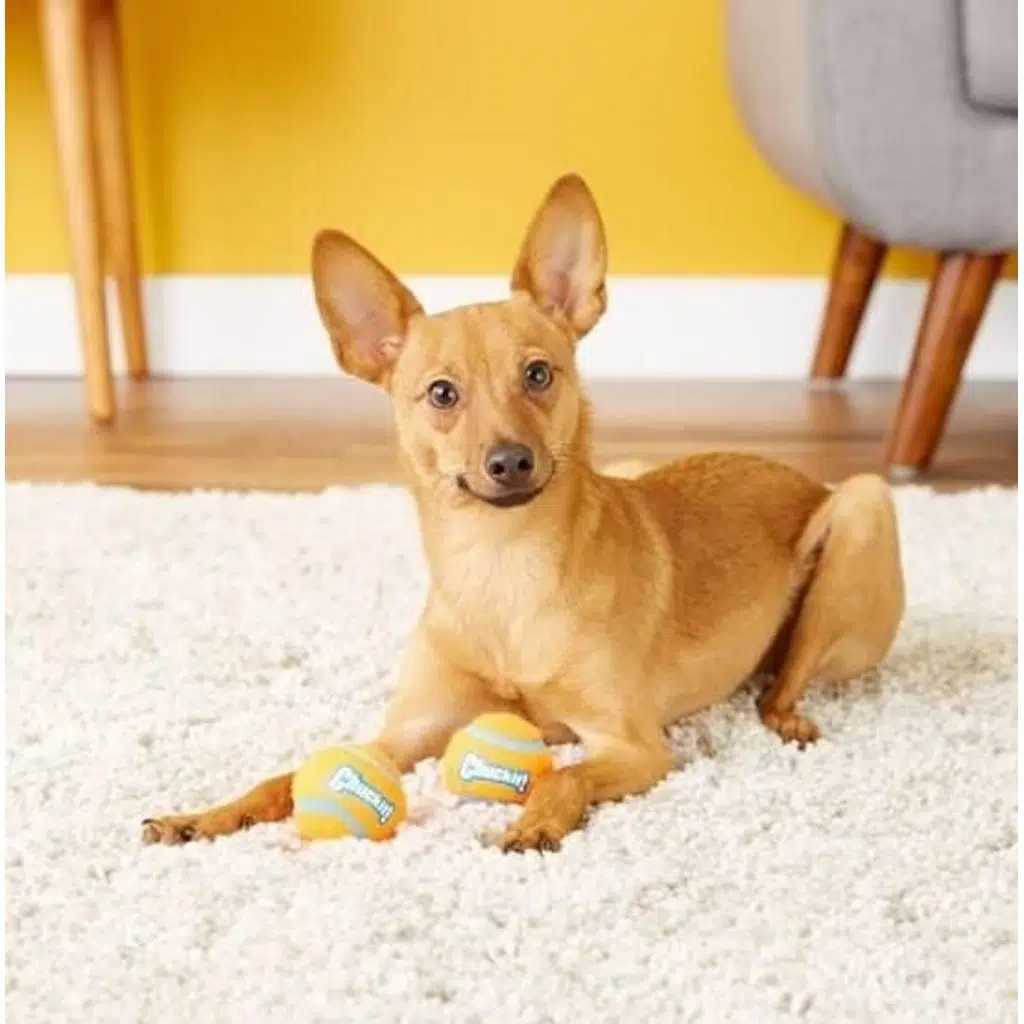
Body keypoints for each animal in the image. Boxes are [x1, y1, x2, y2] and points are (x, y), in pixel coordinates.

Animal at [142, 174, 905, 852]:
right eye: (441, 394)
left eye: (538, 374)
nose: (509, 461)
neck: (501, 565)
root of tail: (798, 476)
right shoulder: (408, 732)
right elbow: (284, 775)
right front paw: (203, 816)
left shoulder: (635, 747)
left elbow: (560, 778)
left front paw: (535, 823)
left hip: (861, 511)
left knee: (778, 688)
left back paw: (787, 713)